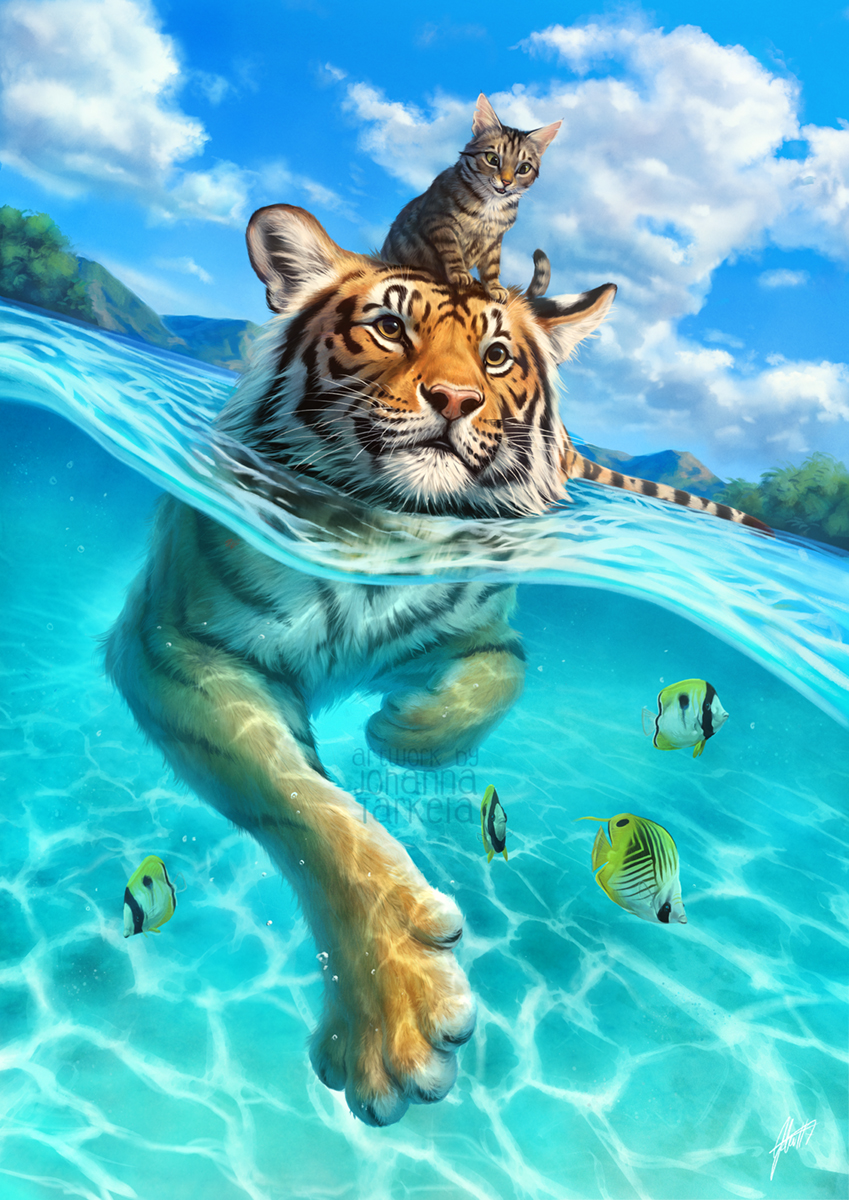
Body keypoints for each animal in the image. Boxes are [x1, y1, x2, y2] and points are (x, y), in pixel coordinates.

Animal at [105, 204, 766, 1128]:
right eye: (389, 328)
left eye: (495, 356)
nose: (455, 400)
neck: (379, 534)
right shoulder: (174, 644)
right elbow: (306, 809)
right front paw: (397, 1016)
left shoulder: (487, 633)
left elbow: (492, 685)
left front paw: (404, 732)